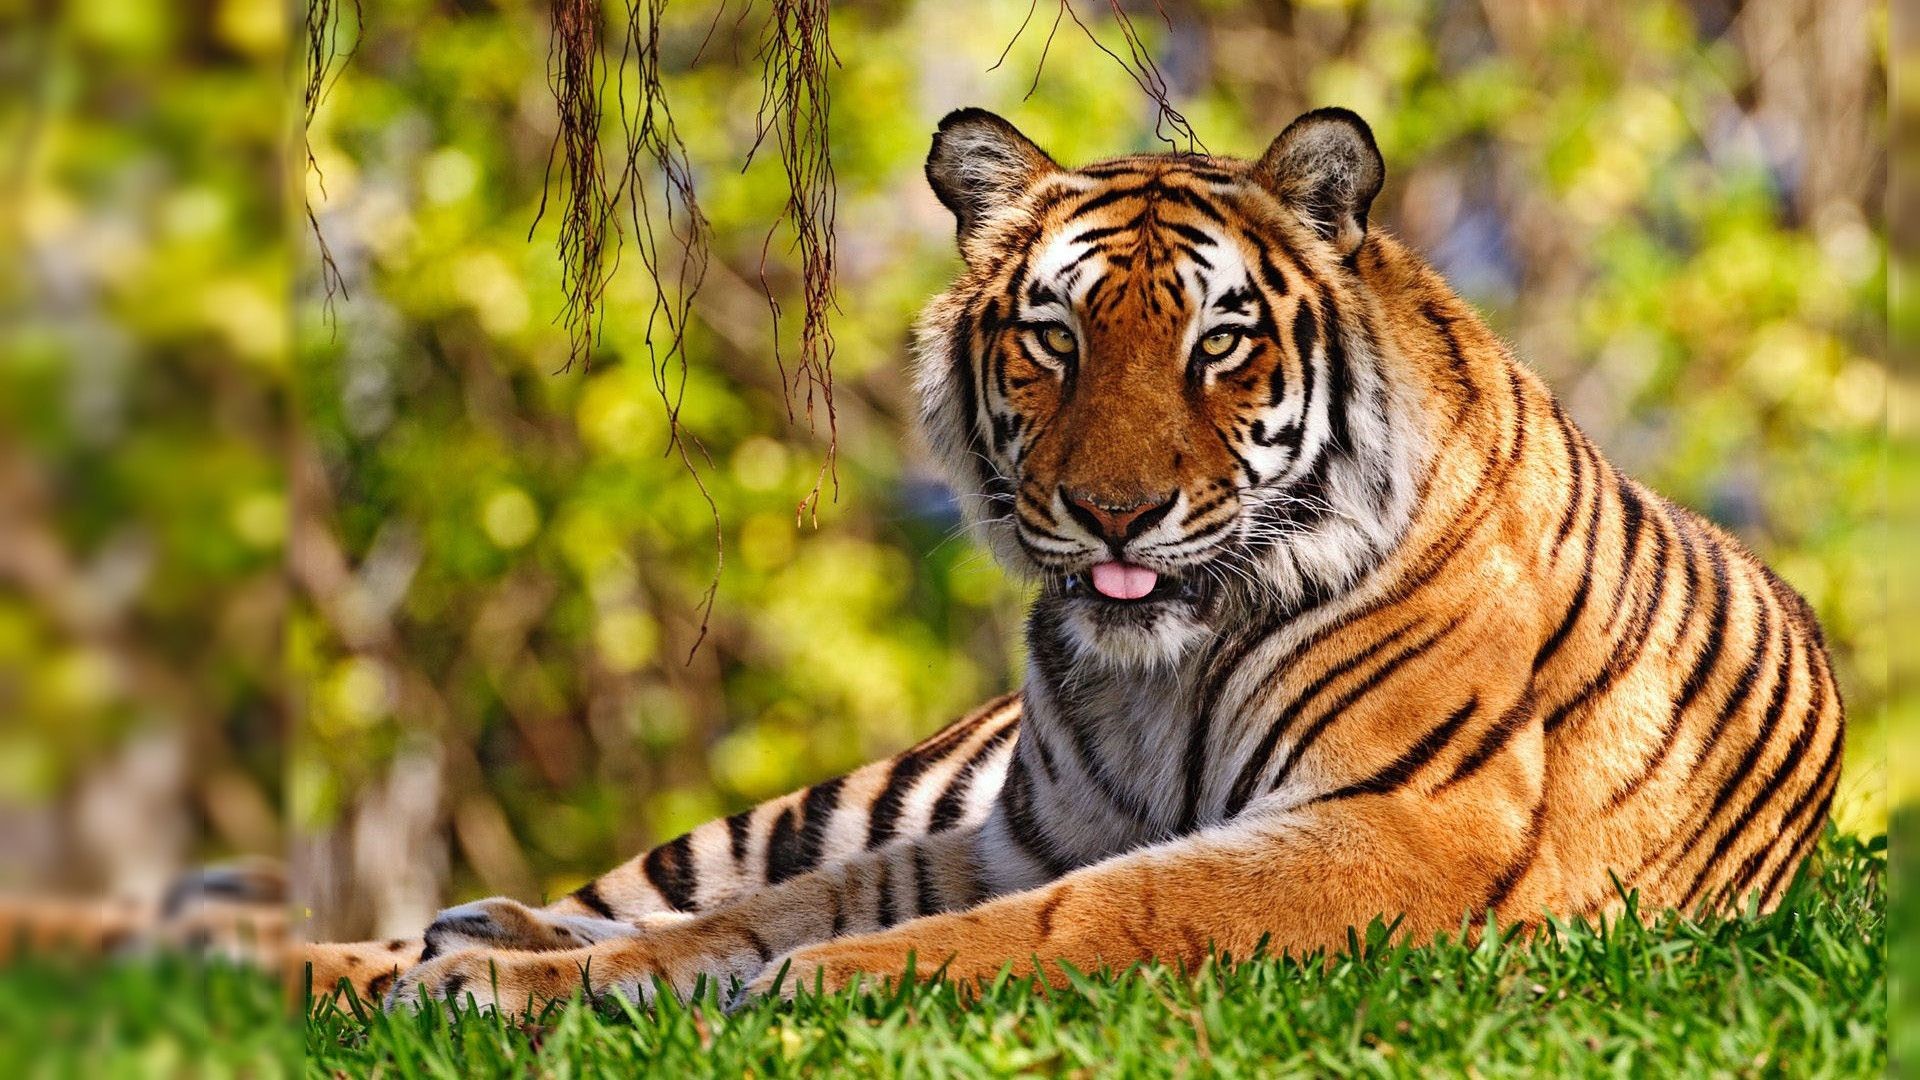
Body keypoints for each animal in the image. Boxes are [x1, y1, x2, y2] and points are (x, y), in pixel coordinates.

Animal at [226, 106, 1847, 1013]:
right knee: (649, 886)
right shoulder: (1028, 829)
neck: (1164, 667)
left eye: (1220, 343)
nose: (1114, 511)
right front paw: (502, 985)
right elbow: (774, 909)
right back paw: (383, 950)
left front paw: (808, 990)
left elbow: (1093, 914)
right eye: (1054, 337)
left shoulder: (1402, 828)